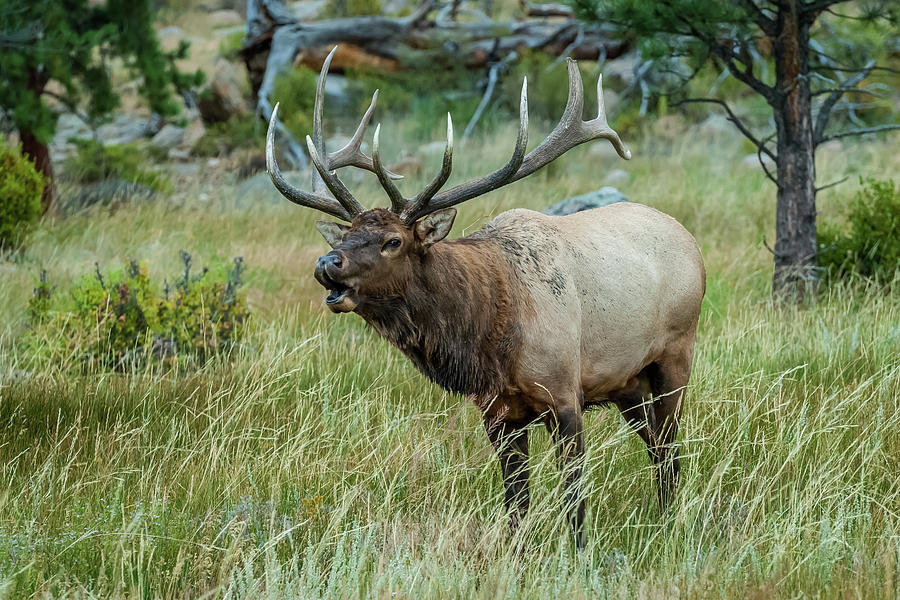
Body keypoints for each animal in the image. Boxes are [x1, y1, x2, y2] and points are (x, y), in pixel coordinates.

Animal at [264, 45, 708, 548]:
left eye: (393, 240)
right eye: (346, 236)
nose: (328, 263)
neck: (492, 336)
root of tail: (689, 240)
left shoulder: (564, 392)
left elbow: (574, 497)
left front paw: (580, 552)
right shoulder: (498, 412)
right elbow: (517, 504)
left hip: (676, 352)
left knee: (670, 449)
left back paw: (670, 522)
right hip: (628, 383)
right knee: (658, 447)